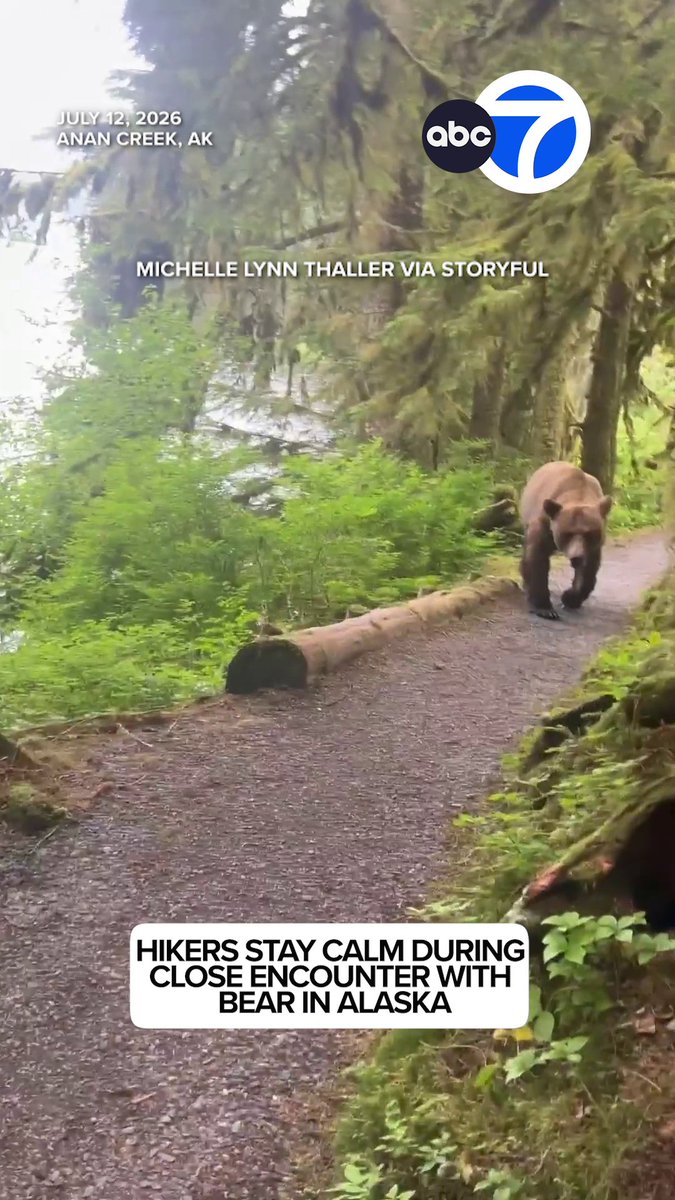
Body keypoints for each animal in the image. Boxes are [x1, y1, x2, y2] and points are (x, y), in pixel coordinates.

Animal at [519, 461, 613, 620]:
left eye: (589, 533)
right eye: (567, 533)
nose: (577, 557)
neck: (578, 493)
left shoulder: (593, 545)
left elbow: (589, 570)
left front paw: (570, 598)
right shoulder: (545, 523)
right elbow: (537, 559)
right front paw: (545, 608)